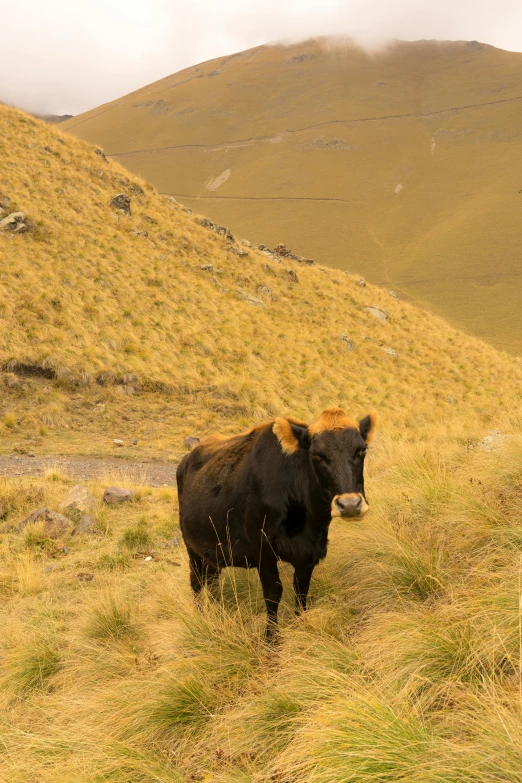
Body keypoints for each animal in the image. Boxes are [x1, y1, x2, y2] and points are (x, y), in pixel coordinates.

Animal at [175, 408, 374, 640]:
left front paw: (300, 624)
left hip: (214, 552)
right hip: (192, 547)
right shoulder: (262, 545)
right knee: (197, 582)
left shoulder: (311, 551)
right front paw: (271, 637)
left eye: (361, 450)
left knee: (213, 583)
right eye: (317, 455)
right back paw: (202, 617)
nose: (350, 504)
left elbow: (301, 588)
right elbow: (273, 591)